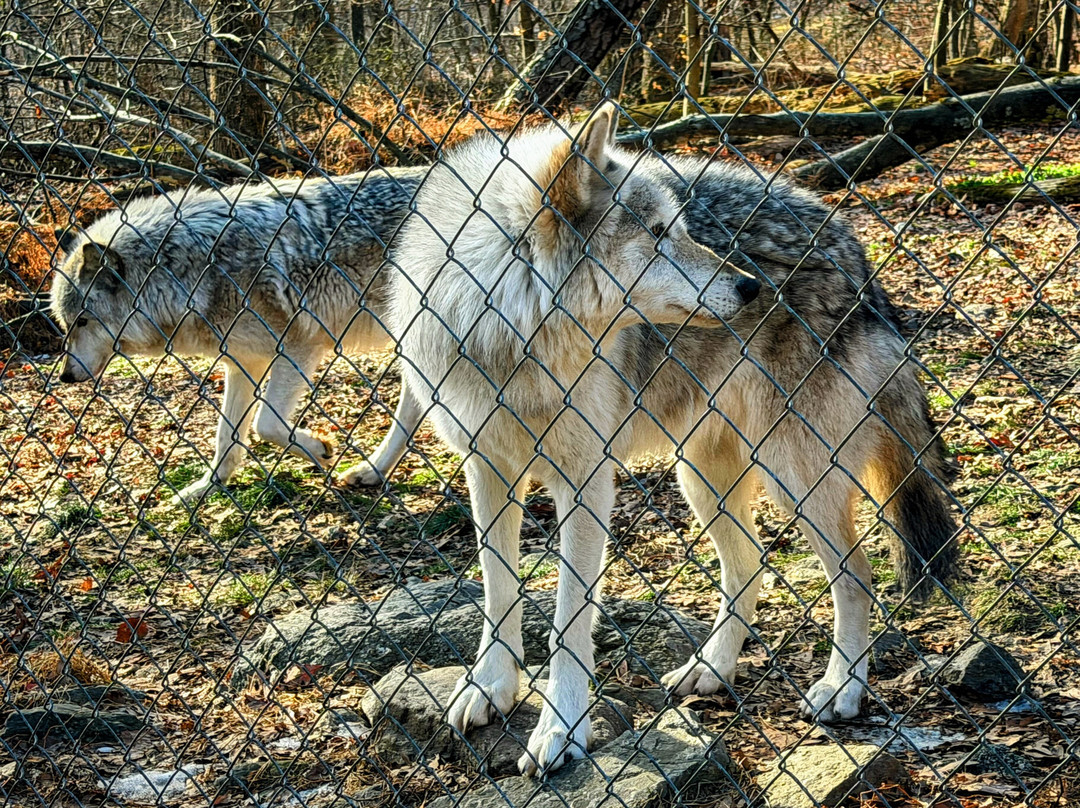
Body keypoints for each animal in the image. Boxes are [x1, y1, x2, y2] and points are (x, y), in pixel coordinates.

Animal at [51, 168, 425, 503]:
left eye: (83, 321)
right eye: (65, 323)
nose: (65, 376)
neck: (191, 272)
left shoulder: (299, 347)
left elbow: (265, 425)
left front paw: (319, 448)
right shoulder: (244, 362)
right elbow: (226, 437)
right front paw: (206, 488)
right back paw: (372, 471)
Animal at [387, 104, 957, 776]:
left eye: (677, 228)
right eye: (658, 232)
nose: (750, 287)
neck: (507, 333)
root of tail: (856, 253)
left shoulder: (585, 483)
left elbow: (567, 620)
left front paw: (561, 730)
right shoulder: (487, 468)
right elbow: (498, 593)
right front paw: (490, 689)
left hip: (794, 478)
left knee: (856, 574)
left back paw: (841, 689)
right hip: (702, 477)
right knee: (751, 565)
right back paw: (710, 669)